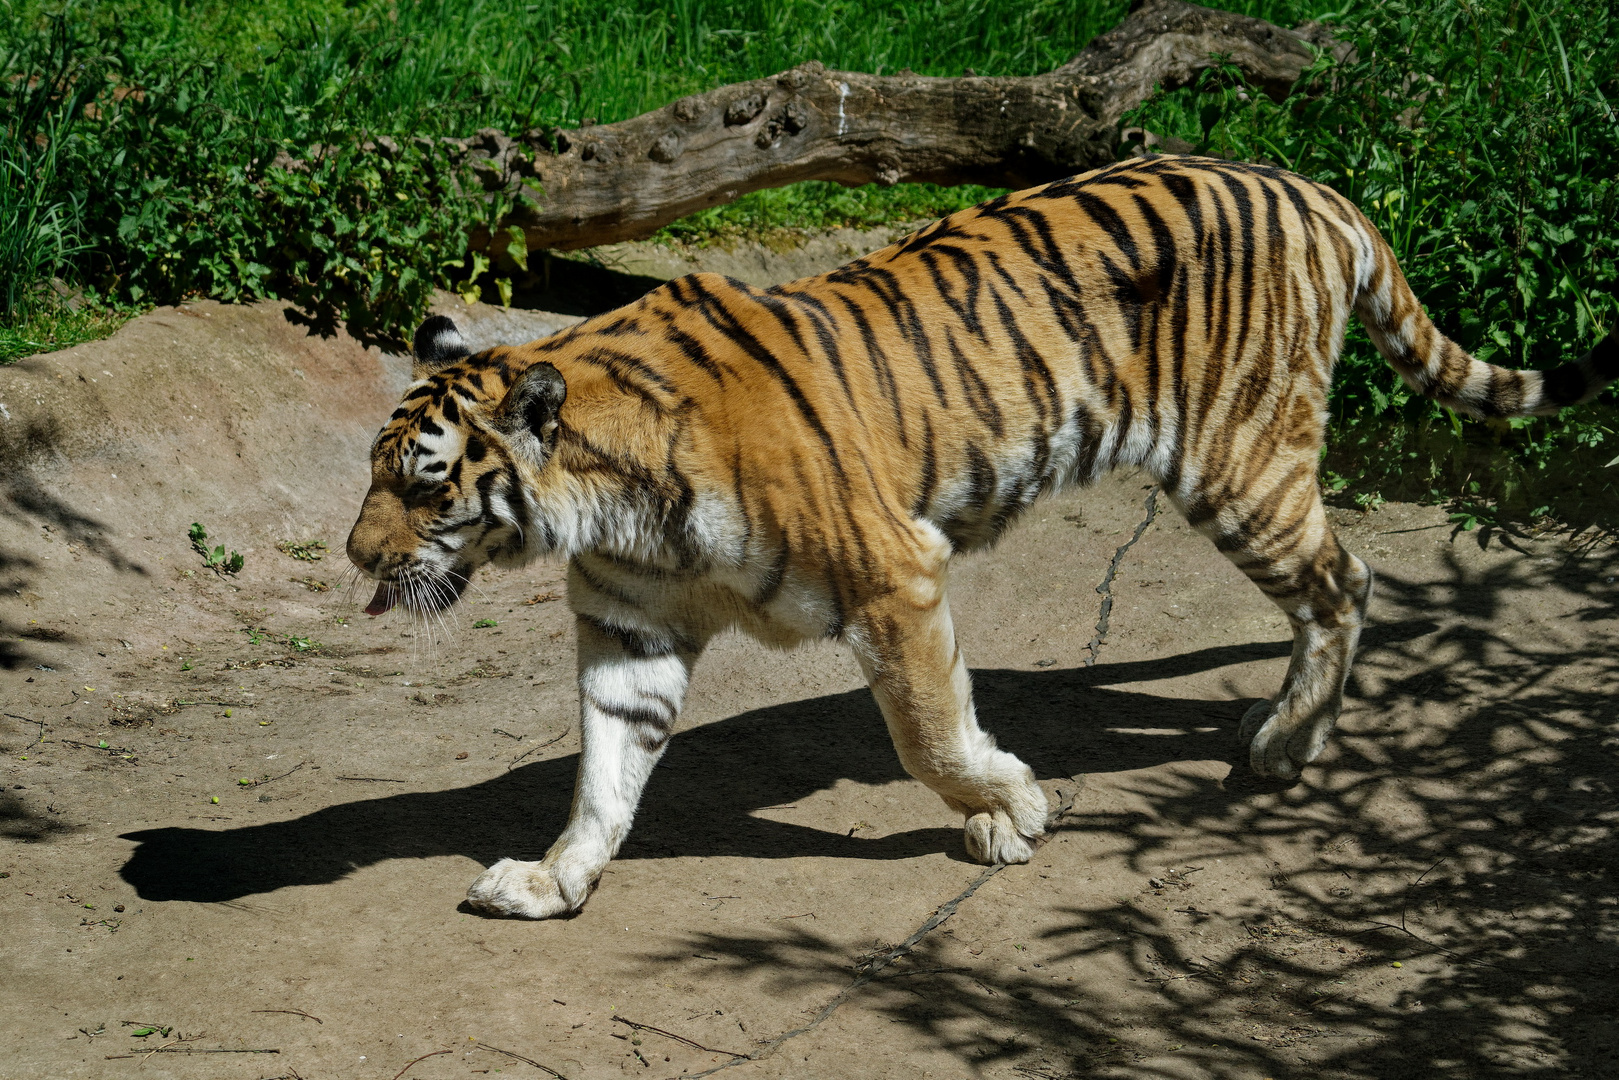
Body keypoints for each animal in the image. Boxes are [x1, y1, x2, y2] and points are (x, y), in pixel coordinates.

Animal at [348, 153, 1612, 919]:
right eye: (373, 475)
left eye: (425, 485)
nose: (359, 559)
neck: (604, 495)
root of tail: (1305, 184)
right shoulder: (630, 628)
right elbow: (604, 772)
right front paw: (552, 881)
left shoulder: (893, 577)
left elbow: (928, 735)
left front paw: (1010, 813)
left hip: (1240, 466)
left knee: (1345, 582)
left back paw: (1280, 744)